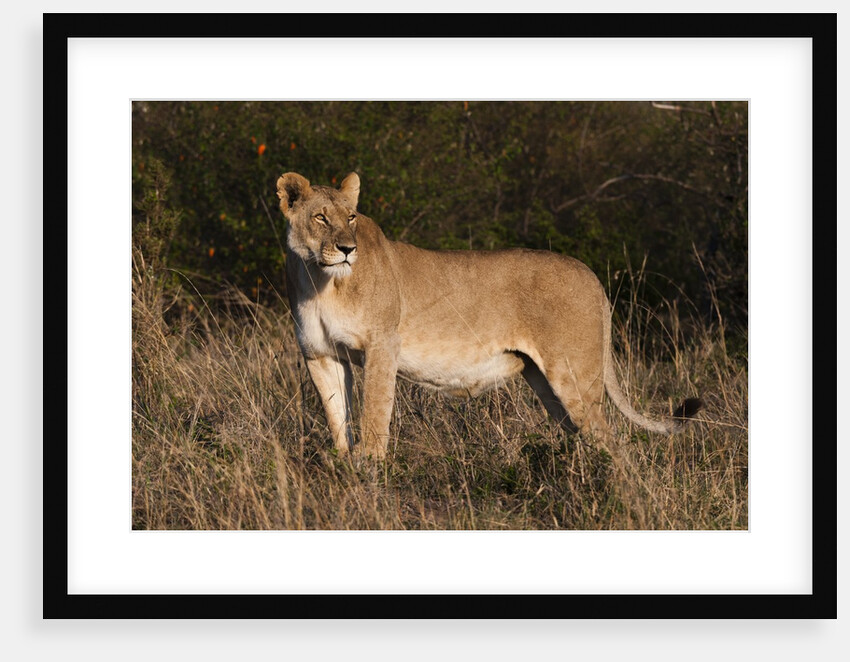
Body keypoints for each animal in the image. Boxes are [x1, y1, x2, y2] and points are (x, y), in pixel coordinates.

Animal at [277, 171, 702, 459]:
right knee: (586, 434)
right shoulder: (321, 355)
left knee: (612, 441)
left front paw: (370, 472)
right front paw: (345, 469)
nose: (348, 249)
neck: (321, 279)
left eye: (350, 217)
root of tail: (592, 275)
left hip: (575, 374)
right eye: (320, 217)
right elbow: (338, 419)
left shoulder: (383, 347)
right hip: (547, 384)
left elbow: (374, 417)